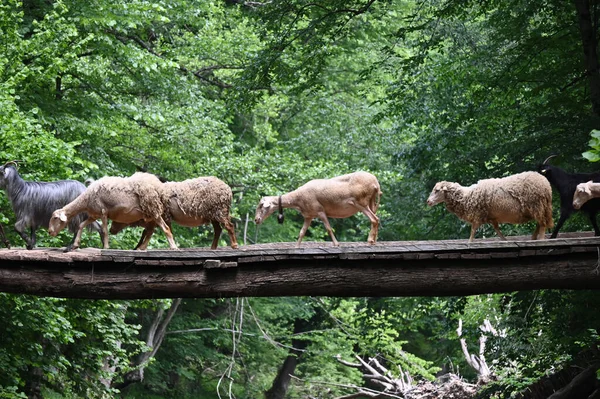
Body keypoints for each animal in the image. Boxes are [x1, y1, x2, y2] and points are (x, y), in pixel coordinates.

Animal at [48, 172, 177, 250]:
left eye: (55, 218)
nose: (49, 232)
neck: (86, 200)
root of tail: (159, 185)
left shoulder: (103, 212)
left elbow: (104, 231)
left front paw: (105, 247)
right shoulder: (94, 215)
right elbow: (81, 225)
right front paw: (75, 244)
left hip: (153, 208)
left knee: (165, 228)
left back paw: (173, 247)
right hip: (150, 213)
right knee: (152, 230)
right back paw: (143, 248)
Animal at [110, 177, 239, 250]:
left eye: (118, 218)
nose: (111, 230)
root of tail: (228, 190)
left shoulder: (164, 216)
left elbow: (156, 231)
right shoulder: (162, 217)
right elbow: (150, 232)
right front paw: (140, 247)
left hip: (220, 211)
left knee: (229, 226)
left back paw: (234, 245)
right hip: (213, 214)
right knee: (218, 230)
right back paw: (212, 248)